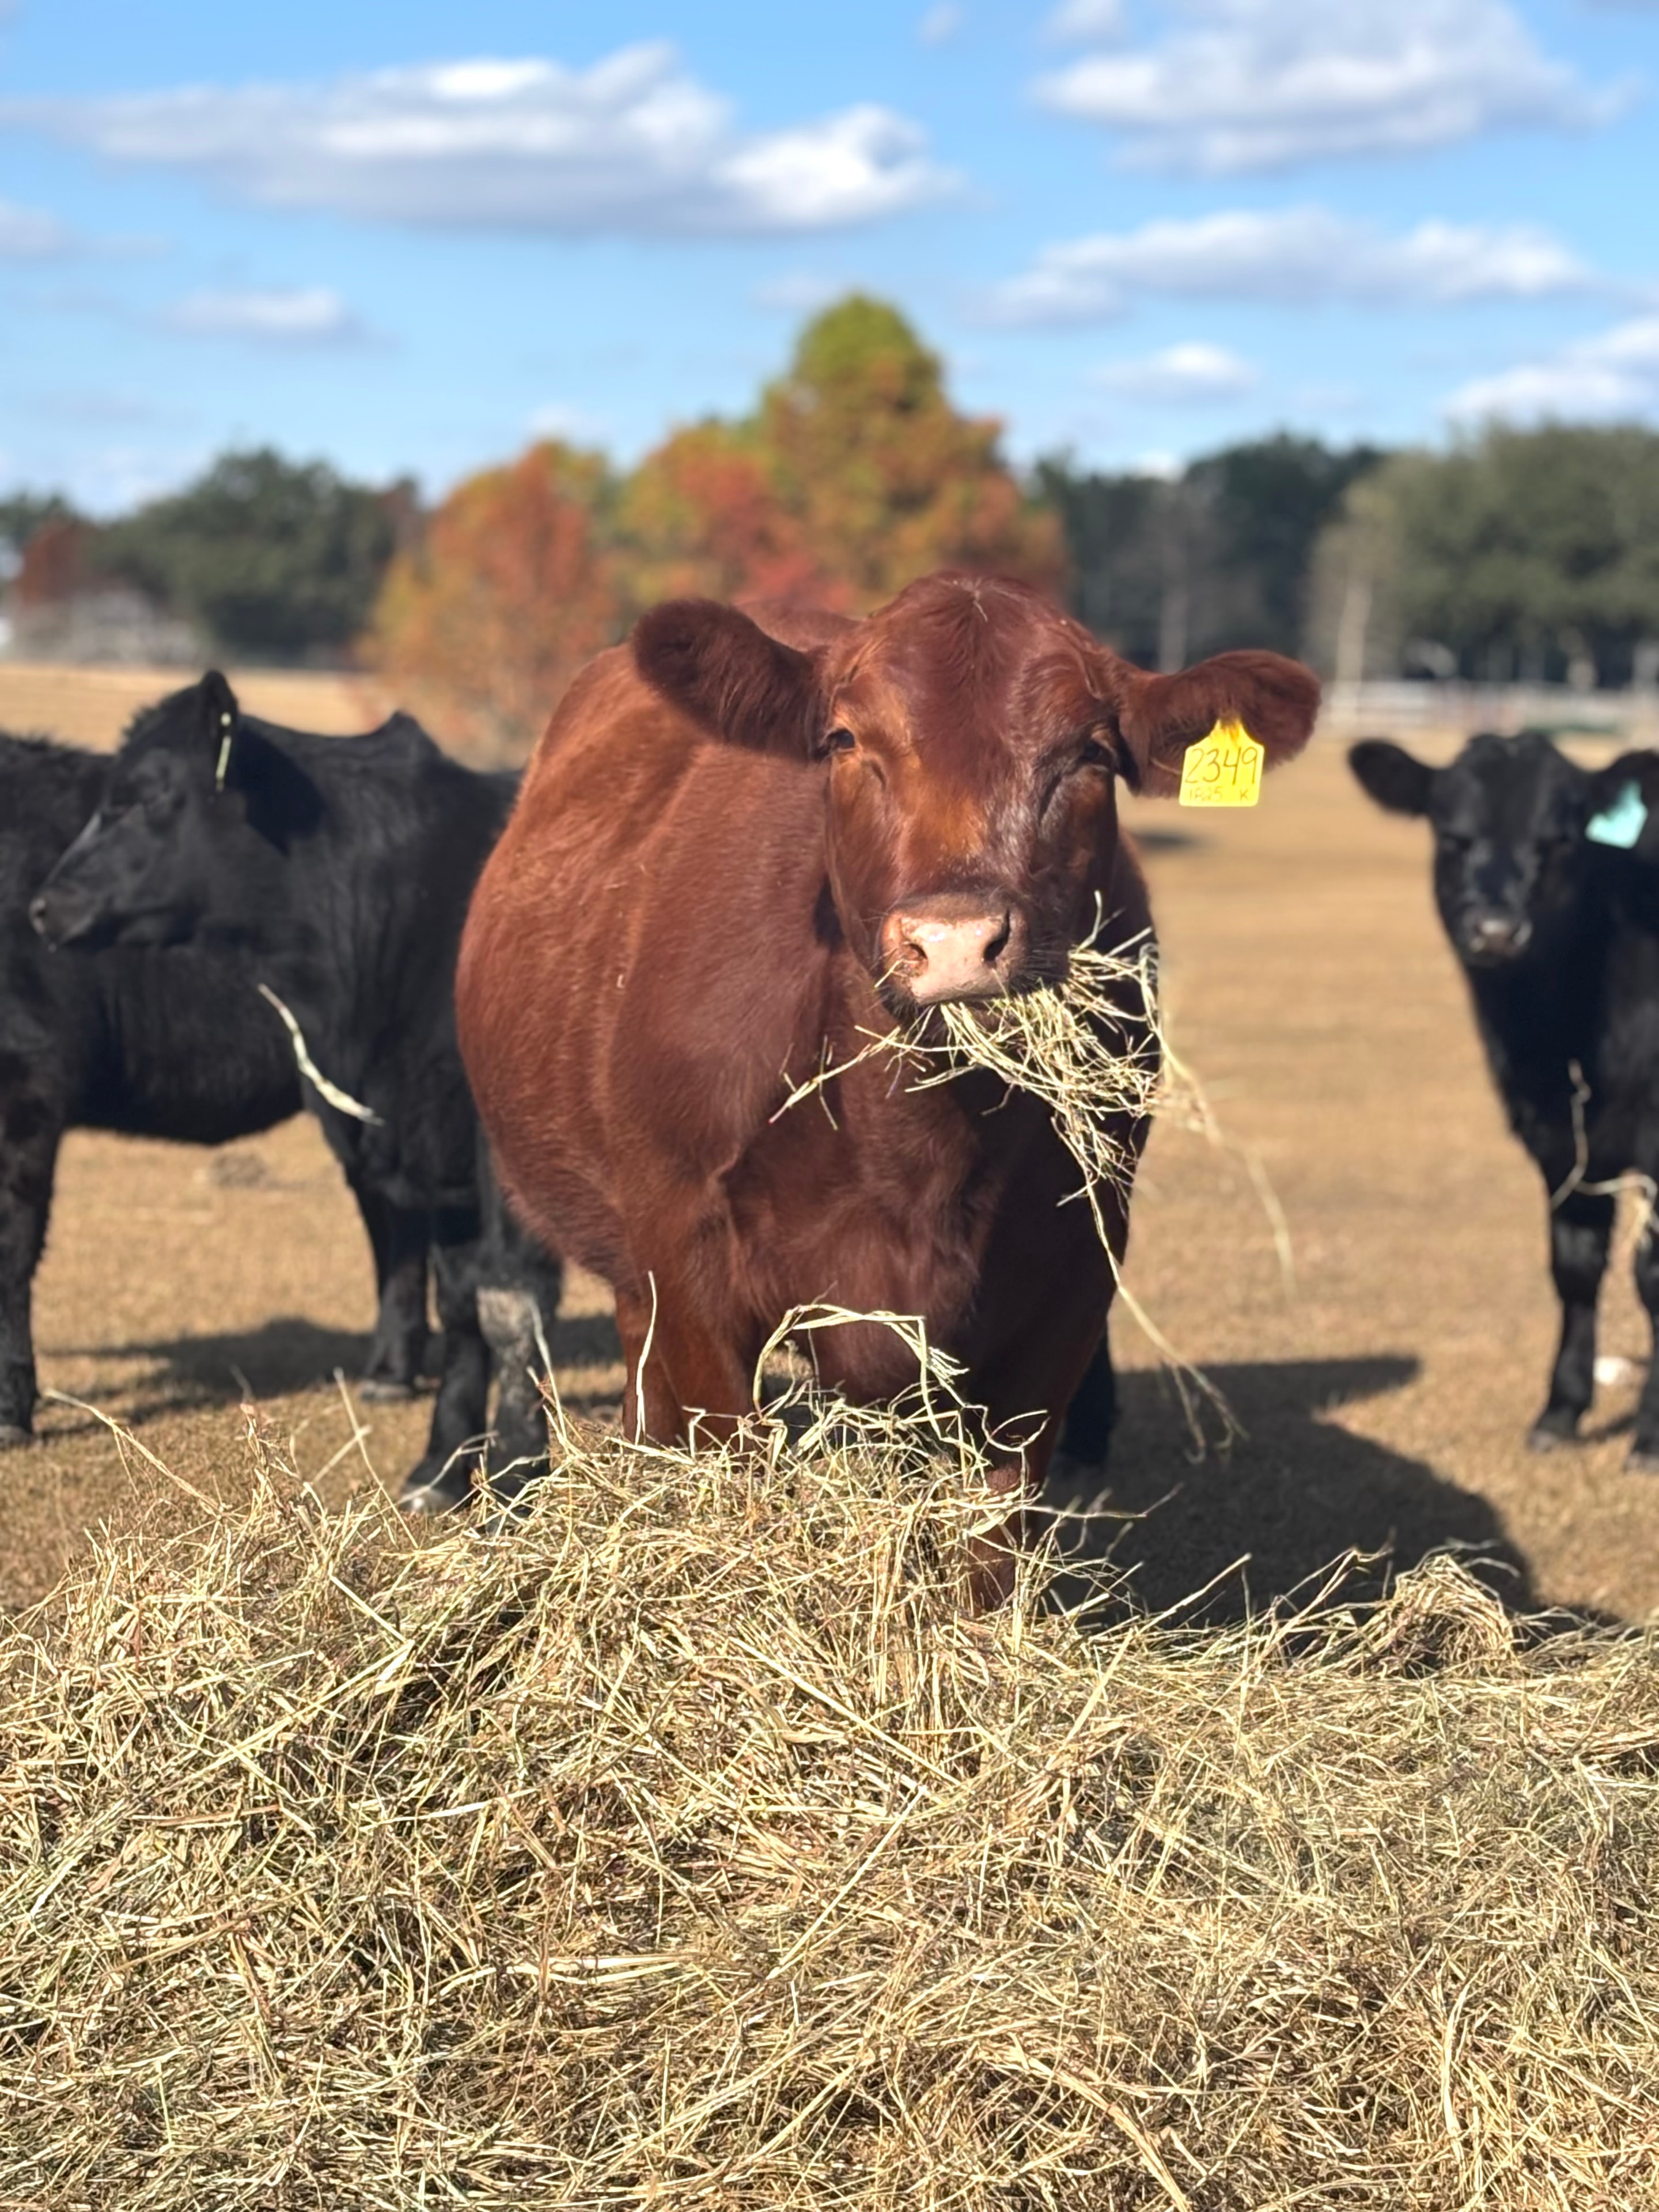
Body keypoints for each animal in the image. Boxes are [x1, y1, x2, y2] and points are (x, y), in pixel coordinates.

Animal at [455, 573, 1320, 1597]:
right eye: (844, 741)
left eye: (1088, 754)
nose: (953, 941)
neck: (918, 1144)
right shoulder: (687, 1249)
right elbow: (736, 1473)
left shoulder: (1076, 1269)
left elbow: (993, 1540)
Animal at [1350, 729, 1659, 1465]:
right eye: (1451, 835)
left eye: (1561, 838)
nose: (1495, 930)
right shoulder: (1560, 1142)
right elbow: (1574, 1268)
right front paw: (1561, 1411)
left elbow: (1652, 1276)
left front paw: (1651, 1436)